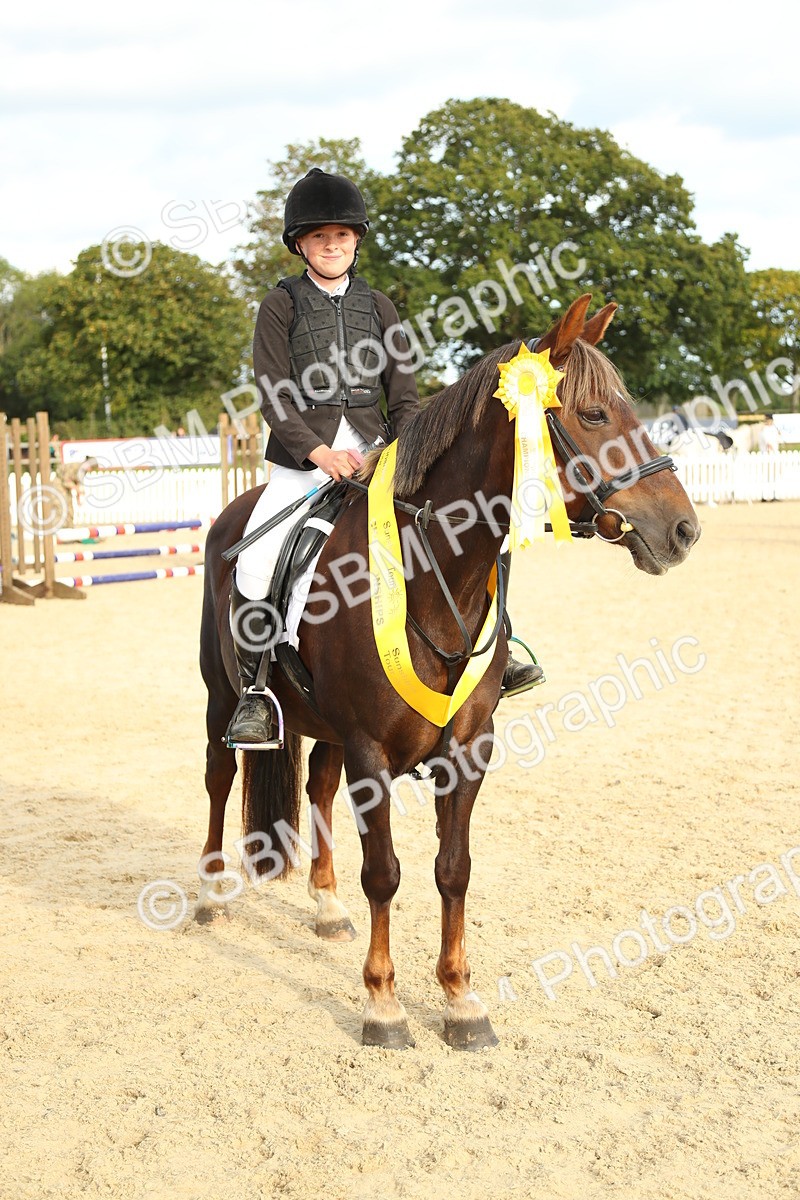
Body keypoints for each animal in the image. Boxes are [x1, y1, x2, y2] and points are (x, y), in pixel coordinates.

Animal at [197, 293, 701, 1051]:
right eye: (591, 415)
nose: (682, 531)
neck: (435, 574)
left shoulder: (467, 749)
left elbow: (453, 870)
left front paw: (461, 1000)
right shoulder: (370, 752)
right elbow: (385, 874)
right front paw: (383, 1005)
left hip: (326, 727)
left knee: (316, 787)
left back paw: (326, 907)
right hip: (220, 697)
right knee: (220, 779)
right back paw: (208, 896)